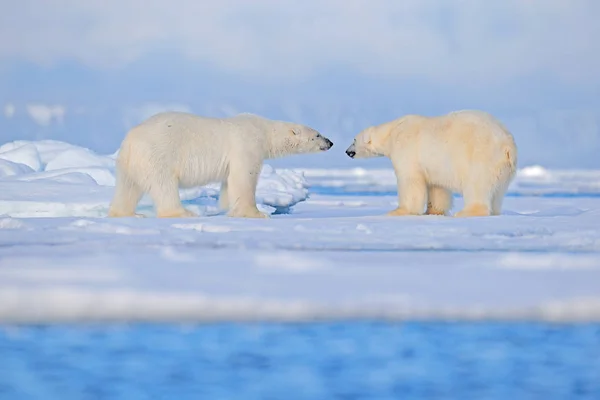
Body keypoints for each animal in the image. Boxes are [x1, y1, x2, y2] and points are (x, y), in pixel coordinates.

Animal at [108, 111, 332, 219]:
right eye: (317, 135)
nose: (330, 142)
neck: (264, 130)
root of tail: (130, 140)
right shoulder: (246, 144)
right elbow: (244, 177)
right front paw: (255, 213)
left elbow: (228, 181)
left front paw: (225, 206)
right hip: (158, 154)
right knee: (164, 185)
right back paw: (182, 212)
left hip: (131, 162)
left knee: (128, 187)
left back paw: (127, 213)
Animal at [344, 109, 516, 217]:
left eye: (354, 140)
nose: (347, 151)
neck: (392, 132)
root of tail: (508, 145)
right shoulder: (434, 164)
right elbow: (437, 186)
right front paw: (434, 211)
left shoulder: (406, 148)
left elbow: (410, 181)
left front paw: (398, 211)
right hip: (502, 168)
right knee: (497, 192)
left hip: (481, 157)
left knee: (477, 185)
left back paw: (466, 212)